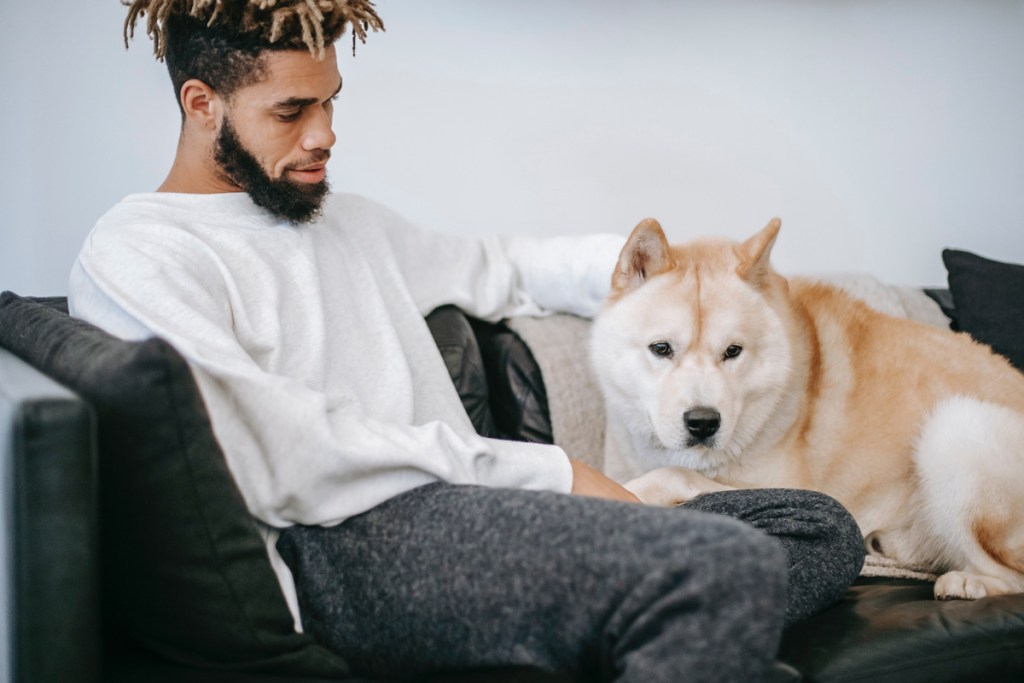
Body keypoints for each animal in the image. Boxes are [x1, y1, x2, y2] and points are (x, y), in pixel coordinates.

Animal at [589, 218, 1024, 598]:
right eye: (661, 348)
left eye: (733, 351)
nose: (703, 423)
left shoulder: (788, 486)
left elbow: (669, 474)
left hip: (954, 428)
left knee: (1013, 574)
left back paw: (967, 582)